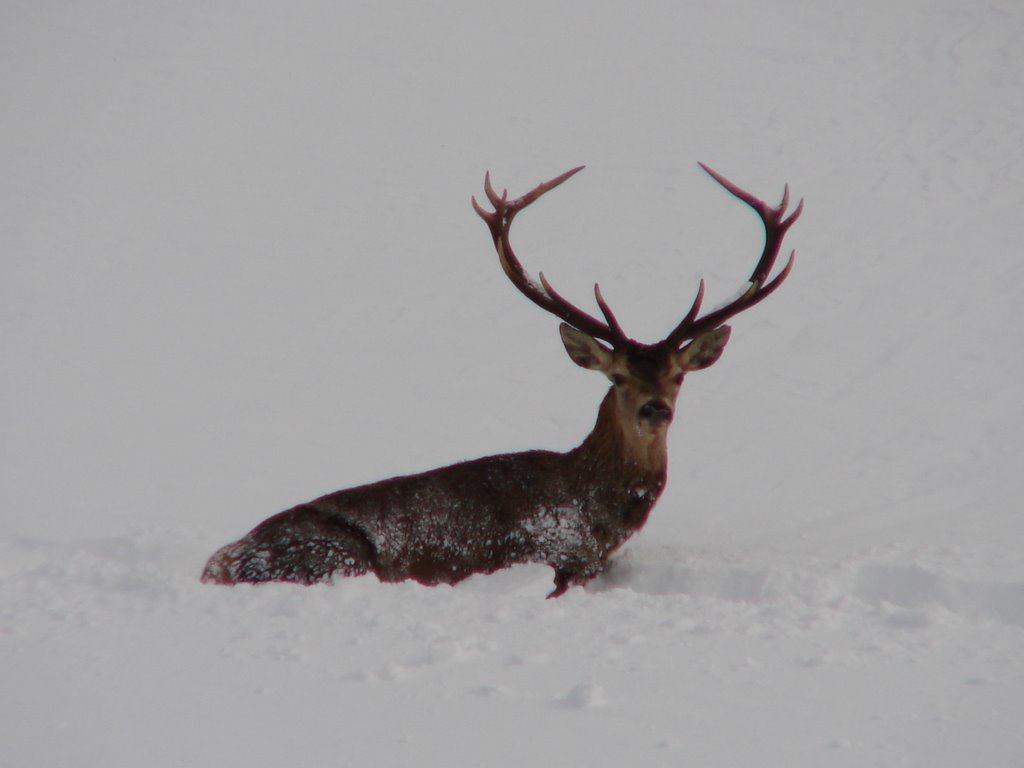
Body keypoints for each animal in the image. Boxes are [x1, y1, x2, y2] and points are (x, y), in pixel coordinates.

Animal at [201, 162, 798, 598]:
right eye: (619, 376)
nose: (656, 409)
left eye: (678, 375)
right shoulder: (542, 553)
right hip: (336, 556)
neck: (593, 513)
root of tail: (220, 563)